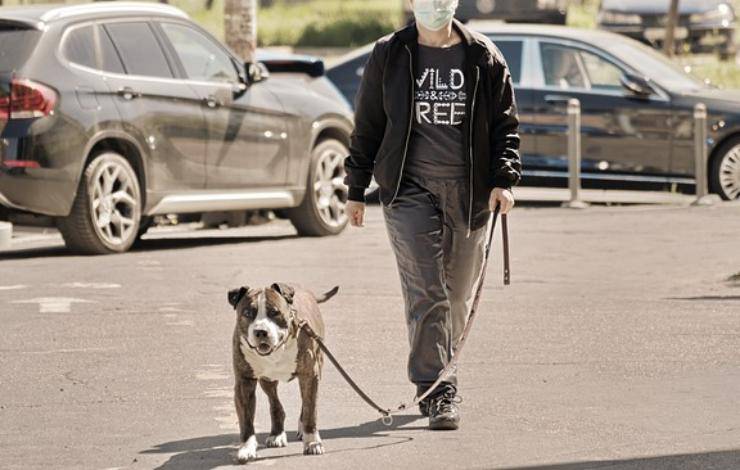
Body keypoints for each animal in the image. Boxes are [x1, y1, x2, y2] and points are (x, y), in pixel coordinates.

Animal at [227, 282, 340, 462]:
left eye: (274, 312)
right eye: (247, 313)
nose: (261, 331)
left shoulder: (310, 375)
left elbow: (310, 411)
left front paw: (312, 443)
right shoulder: (244, 382)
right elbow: (246, 419)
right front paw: (246, 448)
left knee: (305, 405)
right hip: (267, 380)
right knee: (275, 404)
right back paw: (276, 434)